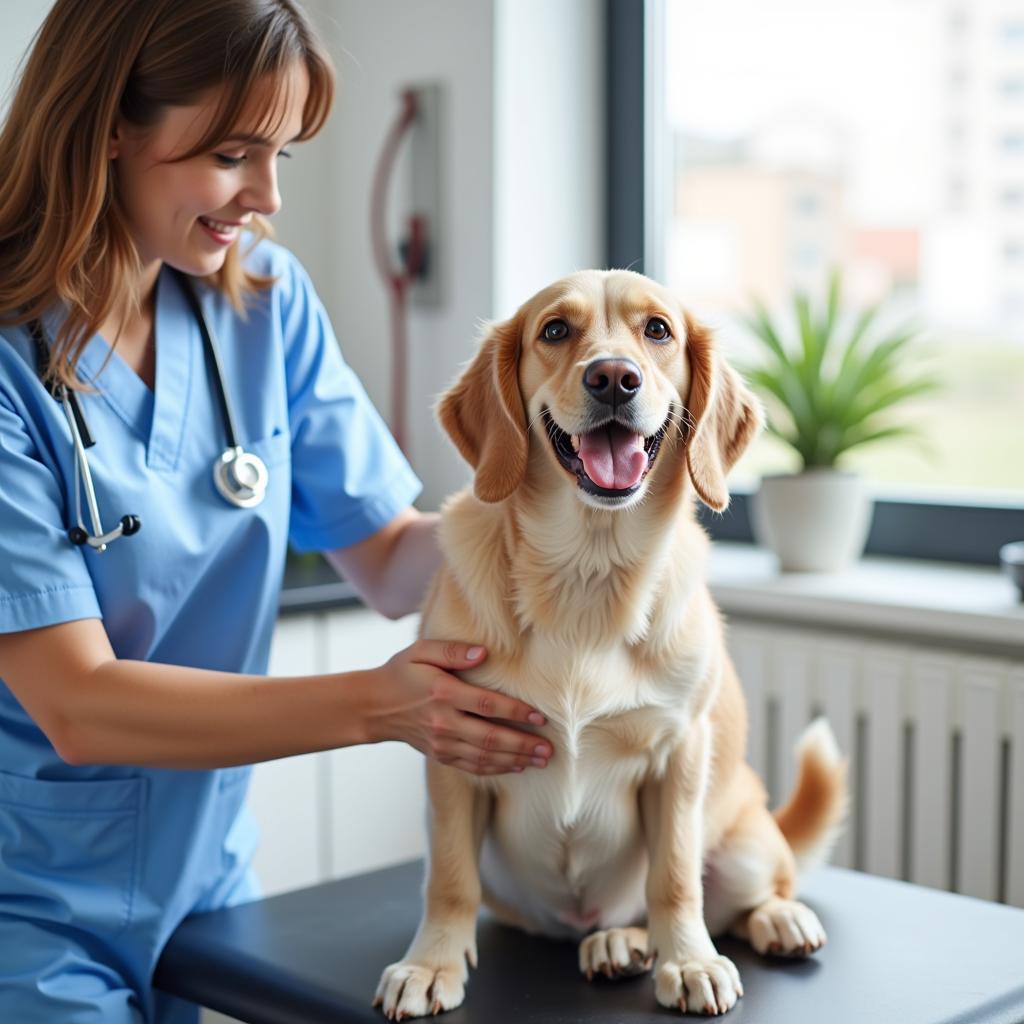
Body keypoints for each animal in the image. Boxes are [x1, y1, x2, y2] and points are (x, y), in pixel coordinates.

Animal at [376, 270, 847, 1015]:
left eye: (657, 330)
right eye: (554, 331)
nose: (614, 378)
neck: (586, 575)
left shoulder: (680, 757)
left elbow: (674, 879)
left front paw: (689, 961)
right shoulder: (454, 754)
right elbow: (448, 879)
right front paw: (429, 965)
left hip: (744, 840)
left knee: (752, 893)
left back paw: (768, 921)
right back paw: (618, 944)